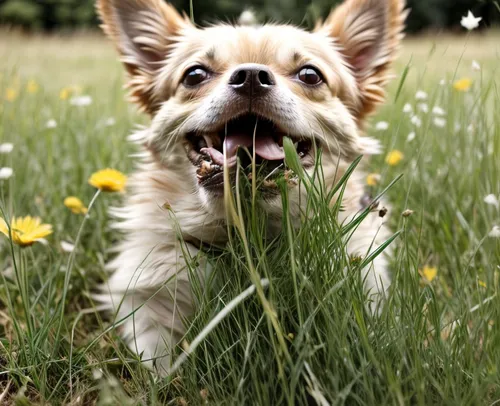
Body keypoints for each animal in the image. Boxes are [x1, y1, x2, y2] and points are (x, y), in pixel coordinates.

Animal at [95, 0, 408, 374]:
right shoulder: (148, 310)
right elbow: (159, 361)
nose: (251, 76)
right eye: (194, 75)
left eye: (310, 75)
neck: (251, 238)